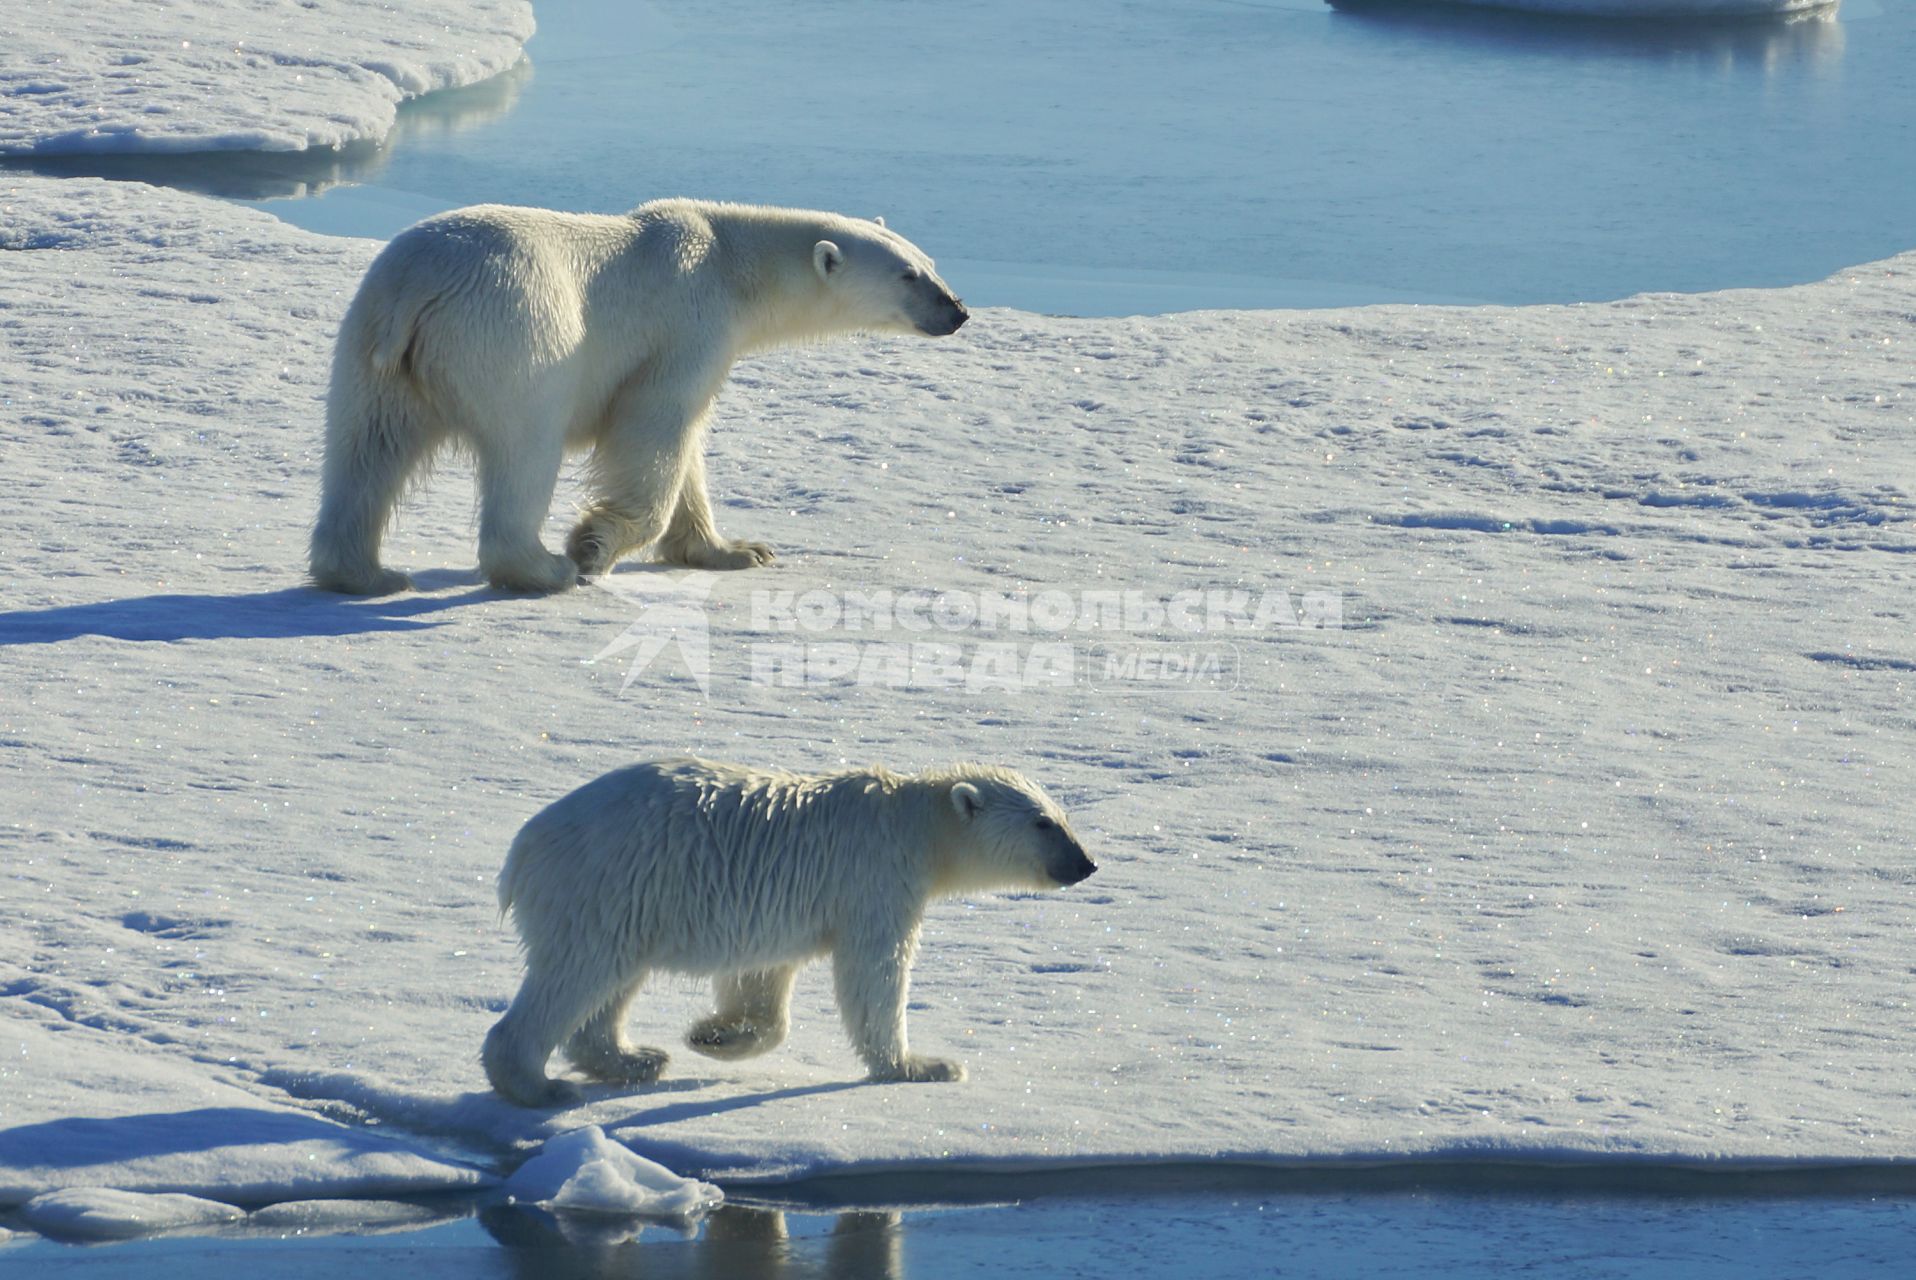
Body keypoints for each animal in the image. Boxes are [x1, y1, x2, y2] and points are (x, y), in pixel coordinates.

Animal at [316, 197, 973, 597]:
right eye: (908, 276)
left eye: (929, 262)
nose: (958, 311)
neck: (729, 261)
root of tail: (417, 291)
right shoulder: (685, 323)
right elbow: (655, 425)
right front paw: (594, 545)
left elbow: (689, 454)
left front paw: (738, 550)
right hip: (517, 332)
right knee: (525, 446)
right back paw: (544, 568)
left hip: (372, 350)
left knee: (366, 451)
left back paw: (368, 575)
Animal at [486, 754, 1103, 1103]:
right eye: (1043, 823)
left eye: (1064, 817)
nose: (1086, 863)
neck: (912, 821)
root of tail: (523, 848)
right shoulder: (875, 877)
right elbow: (875, 973)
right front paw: (924, 1067)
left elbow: (762, 982)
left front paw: (713, 1035)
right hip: (606, 887)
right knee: (575, 977)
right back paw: (538, 1085)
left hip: (628, 904)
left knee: (611, 986)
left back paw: (635, 1058)